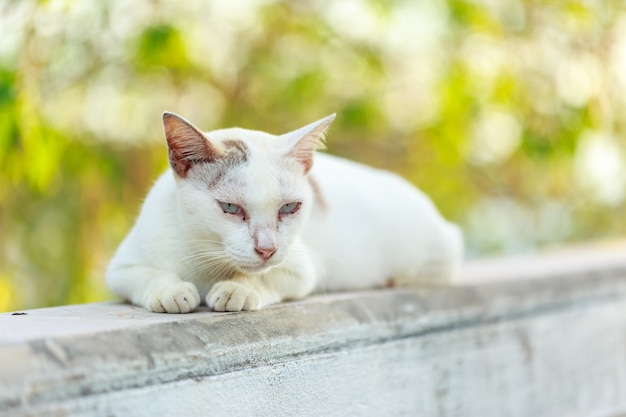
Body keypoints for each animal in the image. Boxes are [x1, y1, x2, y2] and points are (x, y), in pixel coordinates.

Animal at [105, 110, 460, 312]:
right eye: (230, 208)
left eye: (289, 207)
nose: (267, 248)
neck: (208, 260)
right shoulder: (122, 265)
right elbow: (146, 274)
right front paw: (172, 290)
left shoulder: (301, 268)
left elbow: (267, 276)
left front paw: (238, 288)